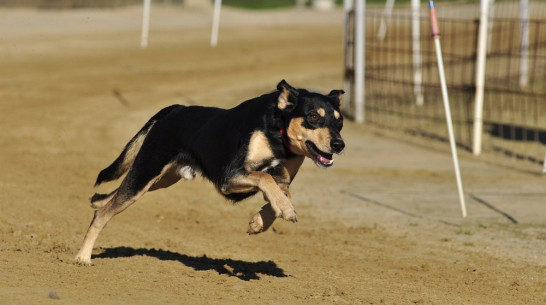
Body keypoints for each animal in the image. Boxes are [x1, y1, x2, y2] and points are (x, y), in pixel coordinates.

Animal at [75, 80, 344, 264]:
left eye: (340, 121)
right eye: (313, 117)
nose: (339, 145)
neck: (278, 136)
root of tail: (176, 109)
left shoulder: (283, 180)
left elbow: (280, 192)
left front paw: (259, 222)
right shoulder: (229, 177)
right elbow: (265, 178)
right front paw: (285, 211)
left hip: (160, 178)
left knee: (109, 199)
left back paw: (96, 203)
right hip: (146, 172)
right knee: (103, 214)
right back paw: (83, 257)